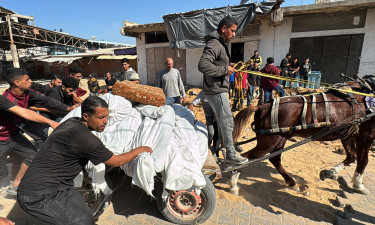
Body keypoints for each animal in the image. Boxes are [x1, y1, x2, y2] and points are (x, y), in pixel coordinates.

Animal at [231, 80, 374, 195]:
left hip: (280, 140)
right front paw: (358, 184)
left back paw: (292, 183)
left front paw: (329, 172)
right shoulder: (367, 134)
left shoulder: (348, 133)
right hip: (269, 142)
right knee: (246, 157)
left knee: (275, 159)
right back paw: (233, 185)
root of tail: (261, 106)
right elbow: (363, 160)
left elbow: (352, 156)